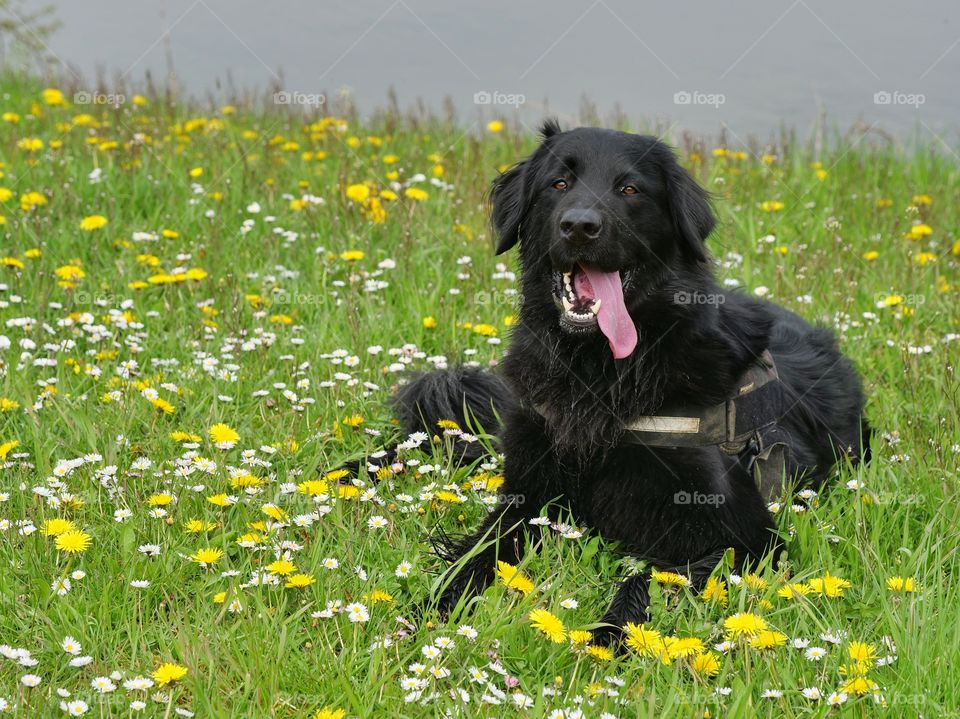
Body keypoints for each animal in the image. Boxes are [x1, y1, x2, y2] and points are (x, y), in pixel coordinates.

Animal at [386, 121, 868, 648]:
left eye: (630, 189)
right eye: (559, 183)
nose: (579, 226)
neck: (601, 374)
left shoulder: (750, 538)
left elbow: (648, 578)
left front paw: (607, 640)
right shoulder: (527, 498)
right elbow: (477, 556)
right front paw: (430, 611)